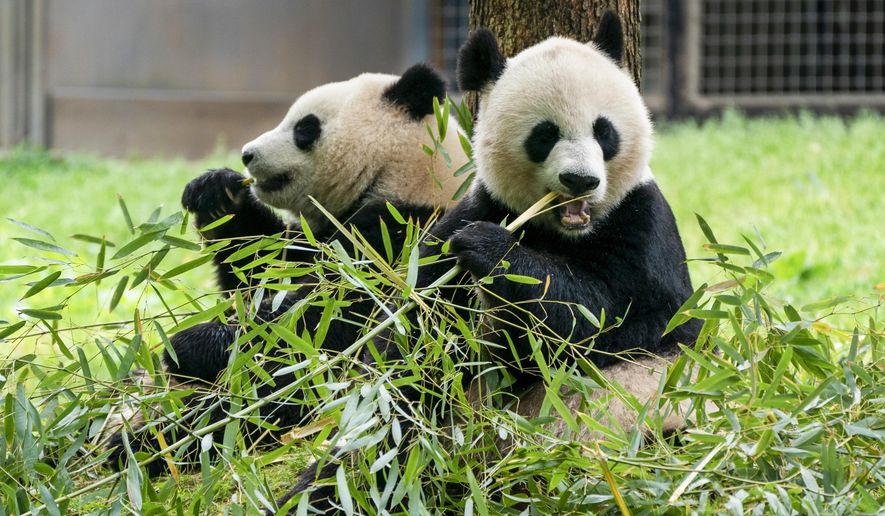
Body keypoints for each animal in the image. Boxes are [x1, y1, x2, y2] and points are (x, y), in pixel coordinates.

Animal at [106, 64, 469, 477]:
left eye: (304, 128)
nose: (247, 154)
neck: (405, 172)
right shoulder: (317, 236)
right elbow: (260, 270)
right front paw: (217, 193)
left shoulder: (401, 237)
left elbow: (322, 324)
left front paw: (191, 344)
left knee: (261, 406)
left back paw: (145, 445)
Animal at [276, 11, 702, 513]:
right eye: (544, 135)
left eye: (604, 131)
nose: (580, 180)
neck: (559, 231)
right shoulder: (472, 211)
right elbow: (415, 344)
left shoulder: (644, 226)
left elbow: (608, 318)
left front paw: (492, 251)